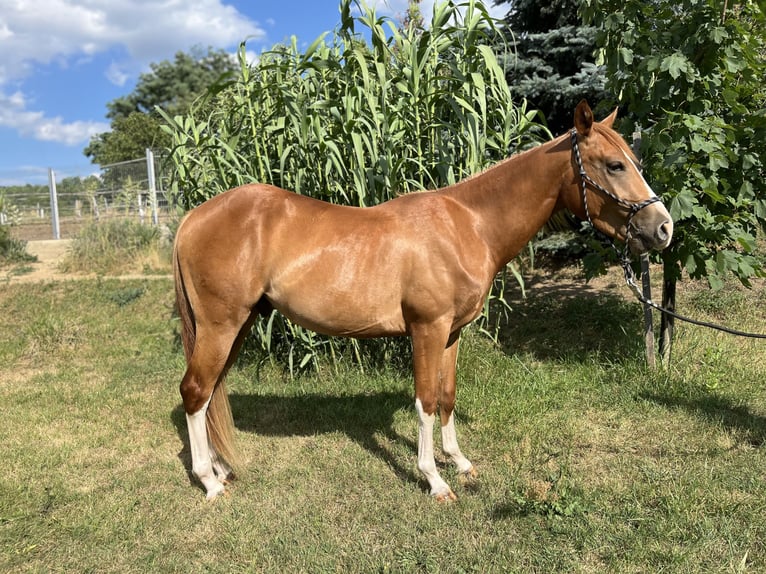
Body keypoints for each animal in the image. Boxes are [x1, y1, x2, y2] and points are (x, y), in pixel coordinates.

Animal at [173, 100, 673, 501]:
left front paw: (461, 463)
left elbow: (447, 396)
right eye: (614, 165)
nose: (664, 228)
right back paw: (209, 482)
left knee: (212, 392)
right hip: (221, 325)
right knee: (195, 392)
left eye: (633, 159)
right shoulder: (427, 329)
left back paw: (220, 468)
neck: (468, 225)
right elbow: (427, 401)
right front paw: (434, 479)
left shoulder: (451, 333)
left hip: (240, 324)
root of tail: (194, 218)